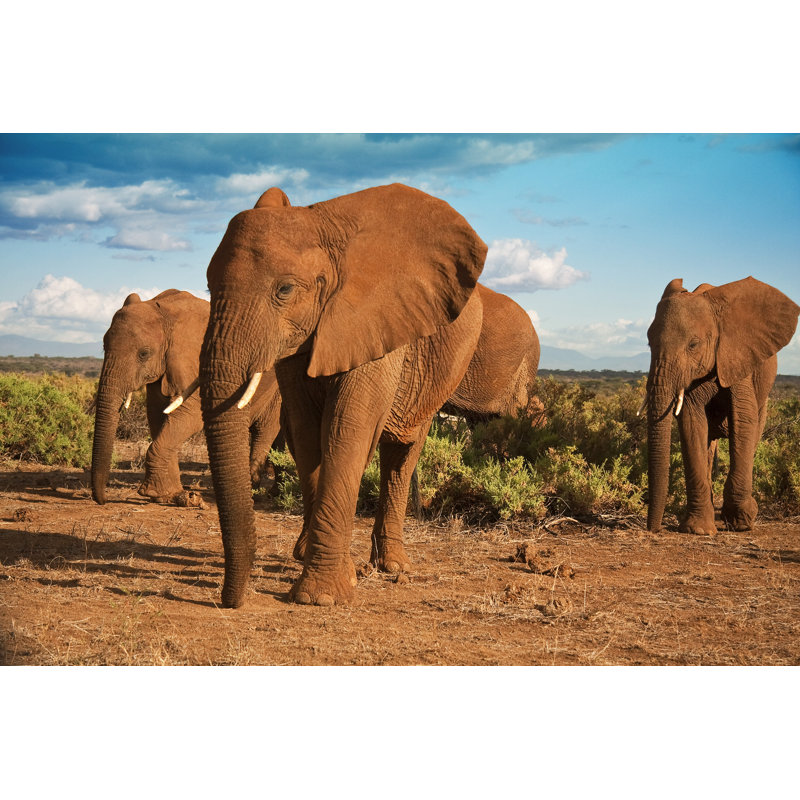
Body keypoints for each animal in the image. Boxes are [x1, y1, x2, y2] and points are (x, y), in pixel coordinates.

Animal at [91, 289, 282, 505]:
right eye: (103, 347)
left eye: (144, 354)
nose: (103, 500)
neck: (166, 313)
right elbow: (157, 416)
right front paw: (171, 495)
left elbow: (191, 415)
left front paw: (154, 493)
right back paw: (274, 493)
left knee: (264, 430)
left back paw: (255, 492)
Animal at [200, 183, 490, 608]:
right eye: (208, 287)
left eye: (285, 289)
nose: (228, 601)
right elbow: (306, 433)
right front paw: (330, 572)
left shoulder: (376, 322)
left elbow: (347, 428)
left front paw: (319, 597)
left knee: (401, 453)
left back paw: (392, 566)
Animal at [644, 276, 799, 534]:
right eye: (648, 343)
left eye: (693, 344)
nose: (653, 529)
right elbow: (691, 421)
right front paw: (698, 530)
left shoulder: (737, 356)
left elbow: (743, 419)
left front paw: (742, 521)